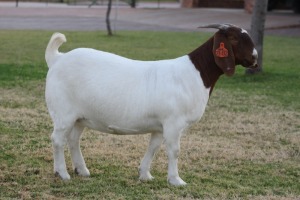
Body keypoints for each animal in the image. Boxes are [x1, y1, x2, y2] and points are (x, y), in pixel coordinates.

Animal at [44, 23, 258, 186]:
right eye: (234, 39)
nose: (255, 58)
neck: (195, 73)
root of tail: (57, 58)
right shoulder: (173, 123)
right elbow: (174, 151)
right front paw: (176, 180)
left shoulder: (160, 126)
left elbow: (153, 147)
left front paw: (145, 174)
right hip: (63, 113)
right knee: (58, 139)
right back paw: (62, 173)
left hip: (80, 117)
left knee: (73, 139)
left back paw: (81, 170)